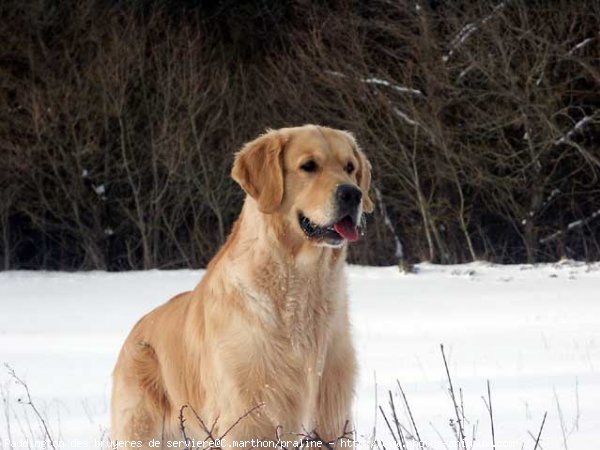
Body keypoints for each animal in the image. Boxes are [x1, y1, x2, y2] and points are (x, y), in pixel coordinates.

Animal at [110, 125, 372, 448]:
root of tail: (137, 328)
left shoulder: (333, 422)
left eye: (350, 168)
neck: (303, 288)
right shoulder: (246, 421)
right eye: (309, 166)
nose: (353, 193)